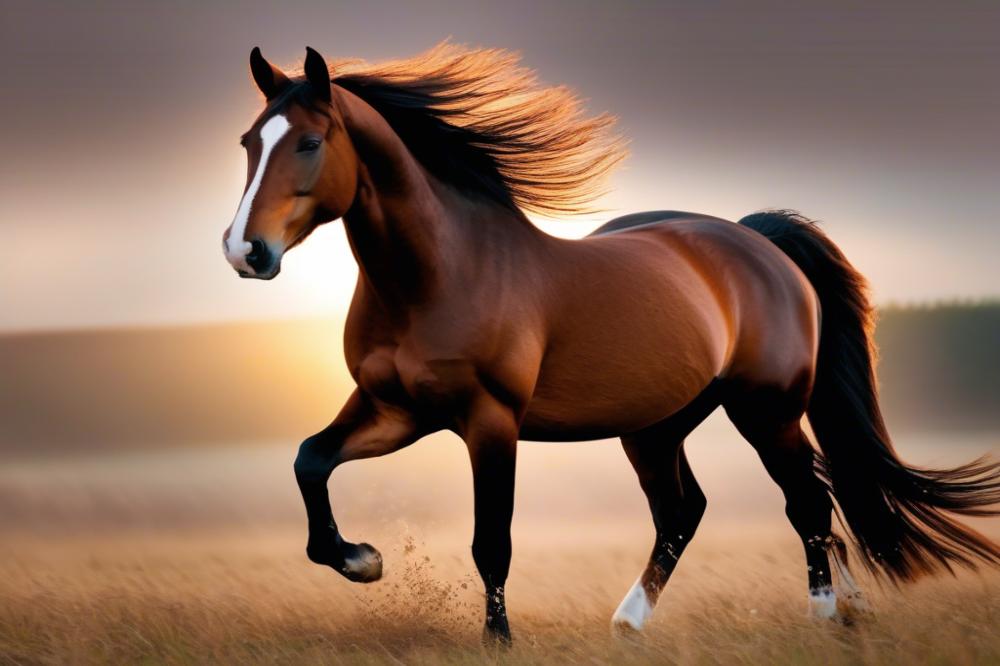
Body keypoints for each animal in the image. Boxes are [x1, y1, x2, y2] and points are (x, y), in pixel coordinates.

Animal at [221, 43, 1000, 644]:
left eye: (309, 142)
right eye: (248, 143)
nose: (244, 252)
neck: (438, 276)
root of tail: (758, 241)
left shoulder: (489, 422)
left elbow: (491, 539)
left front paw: (497, 641)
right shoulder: (396, 410)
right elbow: (310, 460)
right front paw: (362, 559)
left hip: (765, 411)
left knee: (806, 502)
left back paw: (823, 615)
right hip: (656, 426)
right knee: (689, 511)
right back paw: (636, 622)